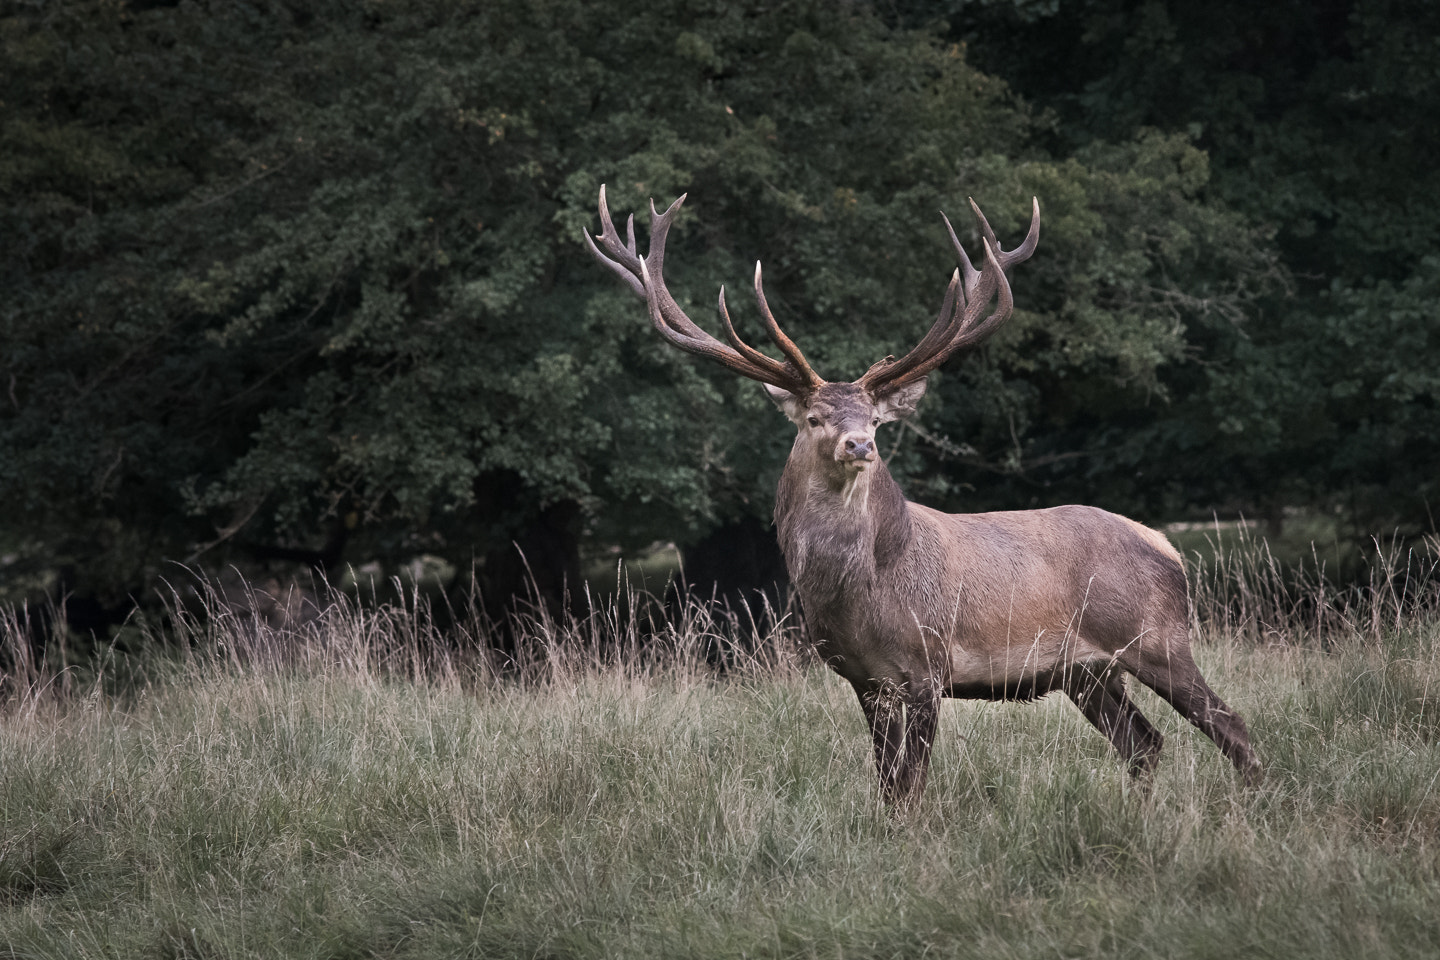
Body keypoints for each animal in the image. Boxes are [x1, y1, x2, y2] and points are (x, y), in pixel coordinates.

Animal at [584, 185, 1261, 805]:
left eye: (876, 420)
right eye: (814, 419)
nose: (860, 445)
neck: (861, 596)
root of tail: (1168, 548)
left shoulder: (928, 665)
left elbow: (912, 786)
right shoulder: (863, 679)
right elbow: (887, 787)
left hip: (1157, 638)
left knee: (1234, 729)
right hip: (1087, 672)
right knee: (1145, 742)